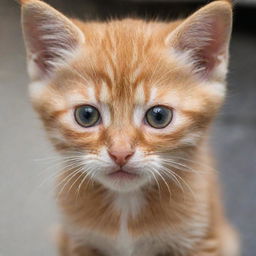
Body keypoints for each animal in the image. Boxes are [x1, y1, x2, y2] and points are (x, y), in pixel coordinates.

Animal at [21, 0, 239, 255]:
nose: (120, 153)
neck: (126, 203)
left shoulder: (202, 240)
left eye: (159, 116)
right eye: (86, 115)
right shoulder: (77, 241)